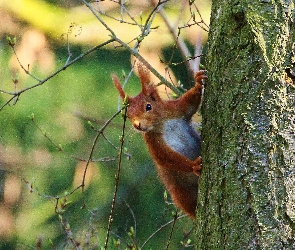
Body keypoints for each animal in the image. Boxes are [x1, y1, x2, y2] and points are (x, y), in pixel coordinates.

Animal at [112, 64, 207, 219]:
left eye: (148, 106)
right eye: (128, 115)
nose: (137, 125)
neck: (161, 123)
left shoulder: (176, 109)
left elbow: (190, 103)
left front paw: (199, 82)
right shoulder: (152, 141)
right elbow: (164, 157)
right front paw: (193, 165)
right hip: (181, 193)